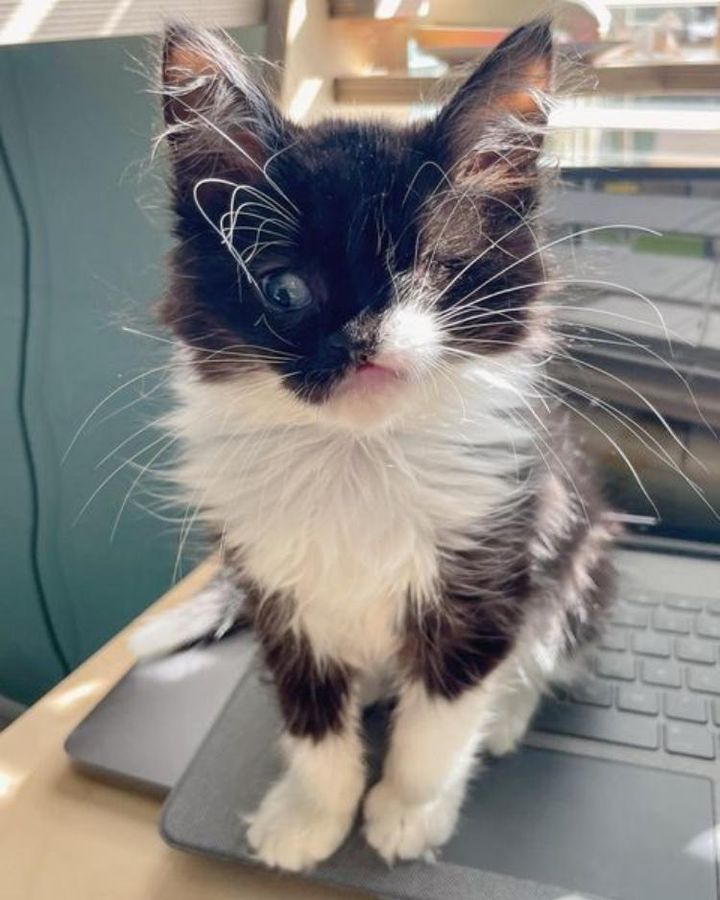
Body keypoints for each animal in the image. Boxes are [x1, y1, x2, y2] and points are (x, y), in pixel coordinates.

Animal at [156, 19, 612, 872]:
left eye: (433, 273)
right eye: (286, 289)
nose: (368, 339)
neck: (358, 456)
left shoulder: (490, 563)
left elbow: (442, 714)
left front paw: (409, 809)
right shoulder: (275, 592)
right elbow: (310, 720)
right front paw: (311, 814)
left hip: (583, 542)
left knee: (553, 633)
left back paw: (509, 712)